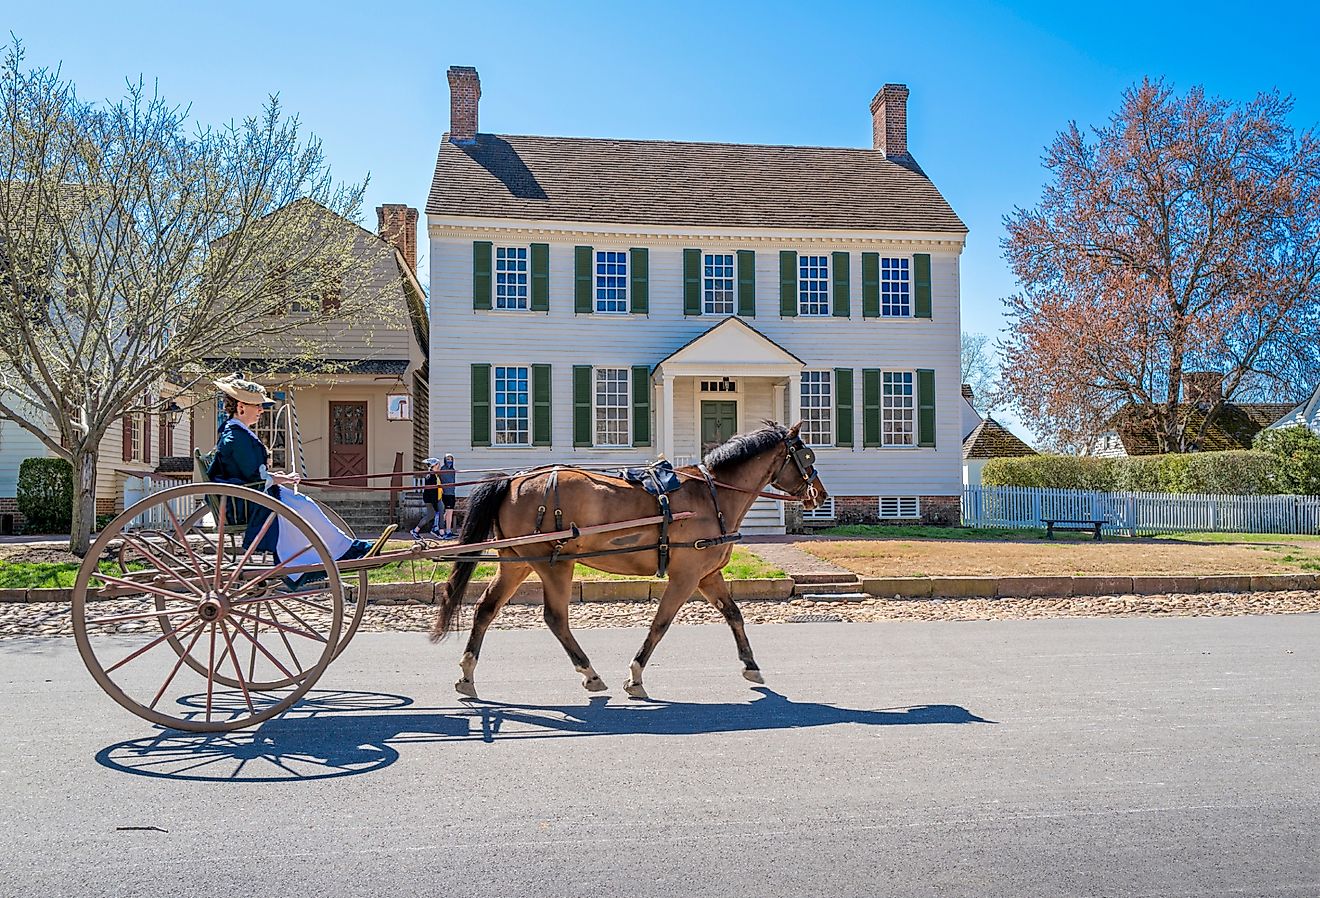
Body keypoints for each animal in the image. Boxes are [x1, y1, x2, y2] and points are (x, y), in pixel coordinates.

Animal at [432, 419, 823, 702]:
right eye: (807, 457)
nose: (819, 494)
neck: (713, 495)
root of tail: (513, 480)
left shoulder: (707, 574)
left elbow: (734, 615)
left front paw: (751, 665)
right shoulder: (686, 575)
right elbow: (660, 624)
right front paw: (635, 676)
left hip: (518, 562)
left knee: (486, 608)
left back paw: (467, 674)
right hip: (555, 563)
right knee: (556, 618)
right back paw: (589, 673)